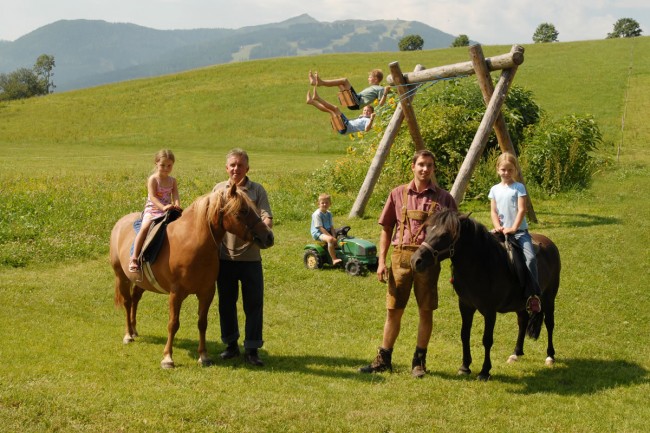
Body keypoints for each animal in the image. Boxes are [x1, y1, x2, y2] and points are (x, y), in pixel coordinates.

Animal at [110, 183, 272, 368]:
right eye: (243, 210)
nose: (269, 236)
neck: (192, 242)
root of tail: (120, 223)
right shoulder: (176, 294)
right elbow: (173, 324)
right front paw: (167, 358)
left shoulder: (206, 292)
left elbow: (202, 323)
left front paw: (204, 356)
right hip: (121, 277)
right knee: (127, 302)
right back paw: (128, 334)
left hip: (140, 281)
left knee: (135, 299)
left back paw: (134, 330)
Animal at [410, 208, 556, 380]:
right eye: (427, 230)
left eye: (445, 234)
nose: (416, 260)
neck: (481, 264)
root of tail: (550, 243)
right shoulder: (465, 306)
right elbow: (464, 334)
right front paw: (465, 367)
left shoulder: (490, 311)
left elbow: (487, 339)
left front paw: (485, 371)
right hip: (520, 304)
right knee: (523, 321)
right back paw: (516, 353)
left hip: (549, 298)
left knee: (549, 324)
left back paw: (550, 356)